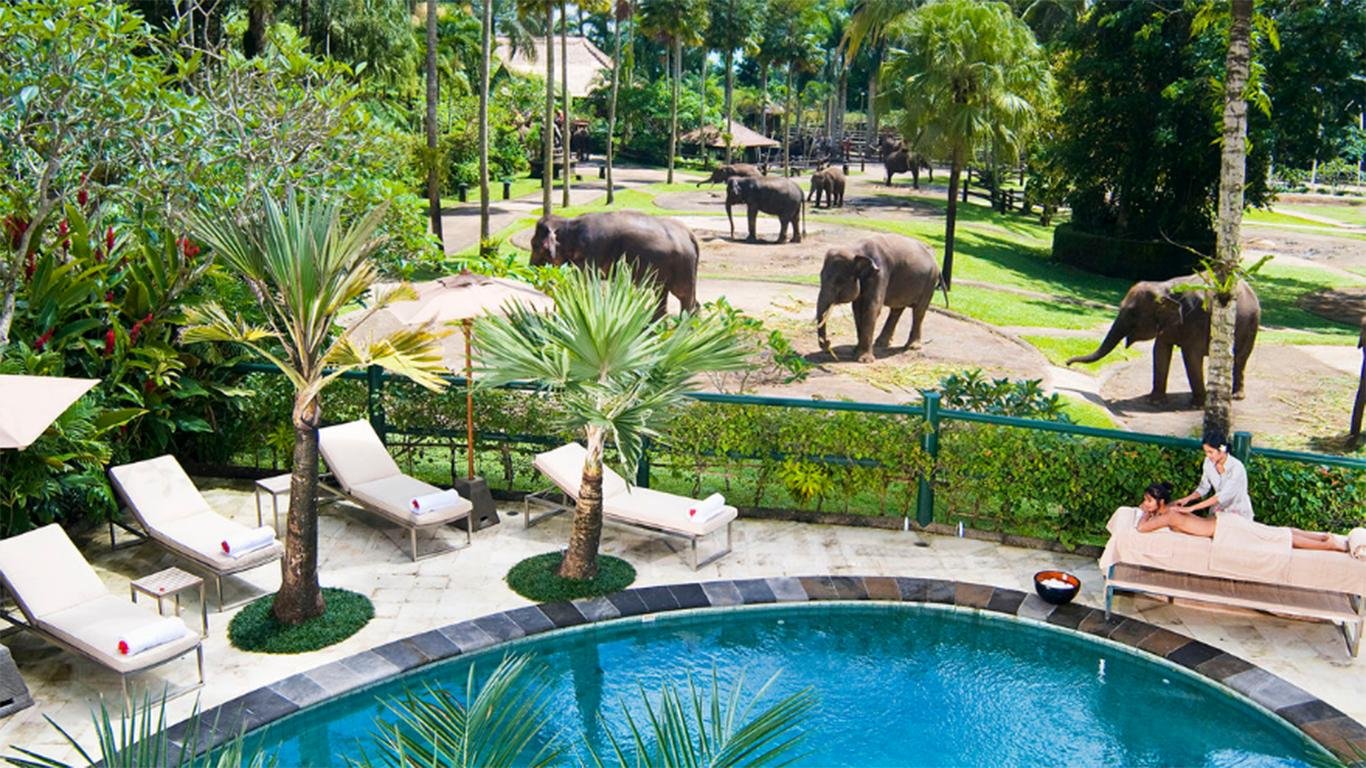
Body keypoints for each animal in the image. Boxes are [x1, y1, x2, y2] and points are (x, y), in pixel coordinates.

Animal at [529, 211, 699, 318]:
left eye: (534, 245)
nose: (532, 268)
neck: (568, 223)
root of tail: (690, 236)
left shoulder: (593, 252)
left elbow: (585, 282)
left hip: (683, 265)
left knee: (683, 295)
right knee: (663, 294)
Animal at [816, 235, 948, 363]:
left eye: (839, 281)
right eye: (820, 277)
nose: (828, 343)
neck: (855, 249)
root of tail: (936, 262)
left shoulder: (880, 274)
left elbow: (872, 308)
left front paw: (864, 360)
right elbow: (857, 309)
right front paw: (855, 352)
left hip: (930, 282)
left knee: (919, 311)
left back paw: (912, 347)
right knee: (897, 310)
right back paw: (881, 343)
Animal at [1066, 275, 1261, 406]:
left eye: (1133, 313)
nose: (1067, 363)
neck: (1164, 287)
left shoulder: (1196, 318)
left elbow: (1190, 355)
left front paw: (1197, 404)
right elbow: (1159, 351)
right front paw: (1154, 400)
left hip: (1251, 323)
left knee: (1240, 358)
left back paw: (1235, 396)